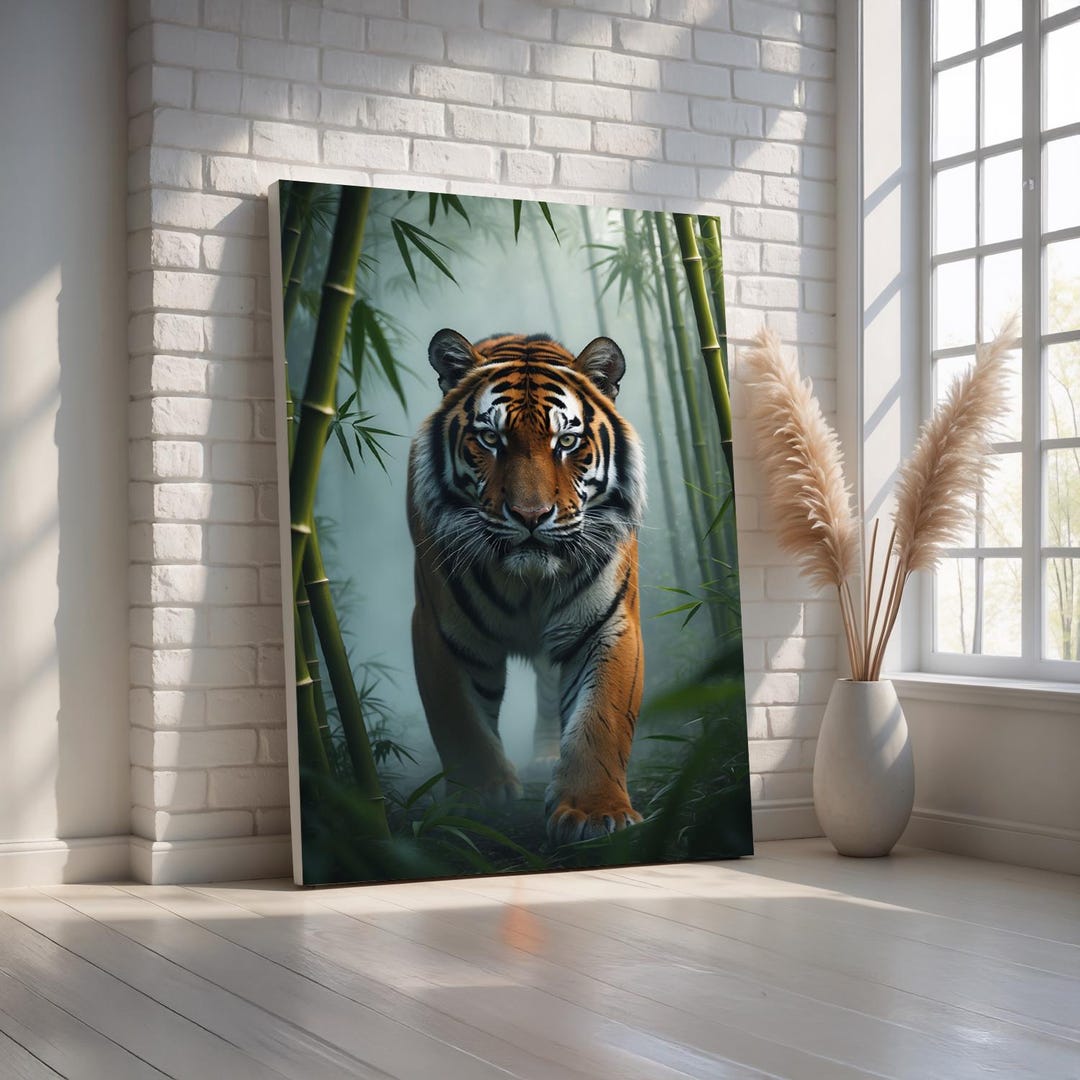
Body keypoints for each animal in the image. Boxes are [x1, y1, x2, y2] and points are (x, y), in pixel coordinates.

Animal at [407, 329, 647, 845]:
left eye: (567, 441)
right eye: (490, 439)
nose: (531, 516)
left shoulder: (607, 624)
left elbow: (601, 718)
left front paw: (596, 812)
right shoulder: (440, 631)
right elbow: (461, 722)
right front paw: (476, 797)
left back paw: (545, 759)